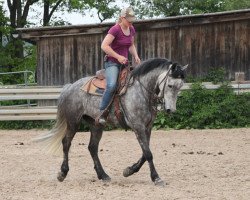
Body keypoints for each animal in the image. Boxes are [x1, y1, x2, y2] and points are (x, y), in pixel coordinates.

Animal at [38, 57, 188, 186]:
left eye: (180, 86)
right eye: (170, 85)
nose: (171, 110)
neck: (141, 91)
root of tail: (69, 87)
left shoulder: (147, 127)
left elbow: (145, 154)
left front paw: (129, 171)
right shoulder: (137, 126)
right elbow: (148, 153)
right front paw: (156, 178)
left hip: (96, 125)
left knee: (92, 148)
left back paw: (103, 175)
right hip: (73, 122)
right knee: (66, 143)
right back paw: (62, 173)